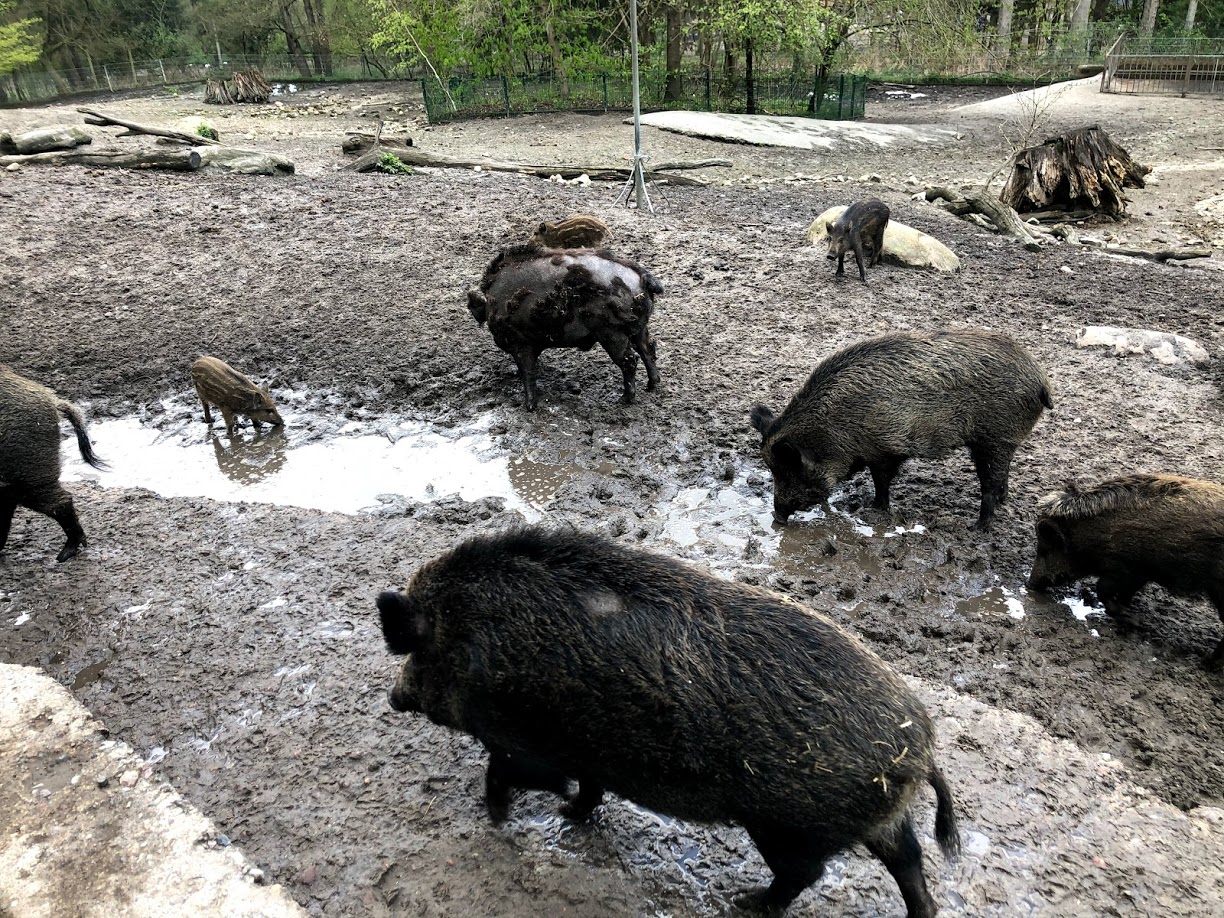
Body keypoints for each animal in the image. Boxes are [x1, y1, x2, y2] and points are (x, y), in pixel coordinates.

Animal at [377, 527, 960, 916]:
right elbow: (589, 789)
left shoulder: (533, 743)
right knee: (909, 860)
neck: (471, 642)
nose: (393, 696)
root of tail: (921, 746)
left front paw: (501, 818)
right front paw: (569, 815)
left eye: (419, 653)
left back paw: (745, 902)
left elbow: (509, 771)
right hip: (873, 817)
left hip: (787, 824)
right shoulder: (590, 752)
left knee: (808, 872)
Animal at [466, 244, 663, 410]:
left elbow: (527, 372)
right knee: (647, 350)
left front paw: (529, 406)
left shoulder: (521, 345)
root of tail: (642, 277)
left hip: (613, 334)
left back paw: (624, 399)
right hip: (638, 330)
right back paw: (652, 385)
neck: (492, 302)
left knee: (630, 360)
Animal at [751, 329, 1052, 530]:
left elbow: (882, 481)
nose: (777, 517)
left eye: (787, 469)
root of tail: (1041, 381)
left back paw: (978, 528)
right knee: (1002, 476)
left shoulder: (885, 447)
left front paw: (873, 510)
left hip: (994, 438)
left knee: (989, 481)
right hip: (1000, 441)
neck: (834, 428)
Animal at [1026, 473, 1224, 669]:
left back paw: (1205, 662)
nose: (1029, 584)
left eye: (1045, 549)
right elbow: (1124, 593)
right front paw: (1129, 615)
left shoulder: (1124, 568)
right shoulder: (1139, 574)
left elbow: (1102, 589)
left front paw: (1134, 620)